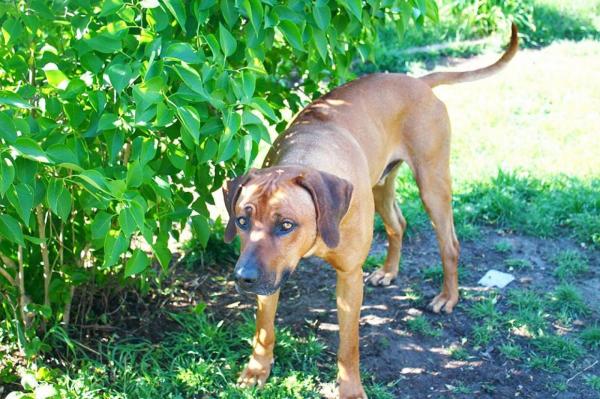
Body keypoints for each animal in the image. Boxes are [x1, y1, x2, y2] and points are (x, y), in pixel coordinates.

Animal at [223, 24, 516, 396]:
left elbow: (348, 345)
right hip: (381, 185)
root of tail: (419, 81)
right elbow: (264, 328)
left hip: (433, 182)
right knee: (398, 224)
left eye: (286, 224)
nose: (242, 278)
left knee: (449, 243)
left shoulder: (348, 277)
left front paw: (349, 389)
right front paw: (257, 370)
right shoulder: (270, 275)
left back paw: (447, 297)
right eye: (242, 221)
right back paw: (389, 271)